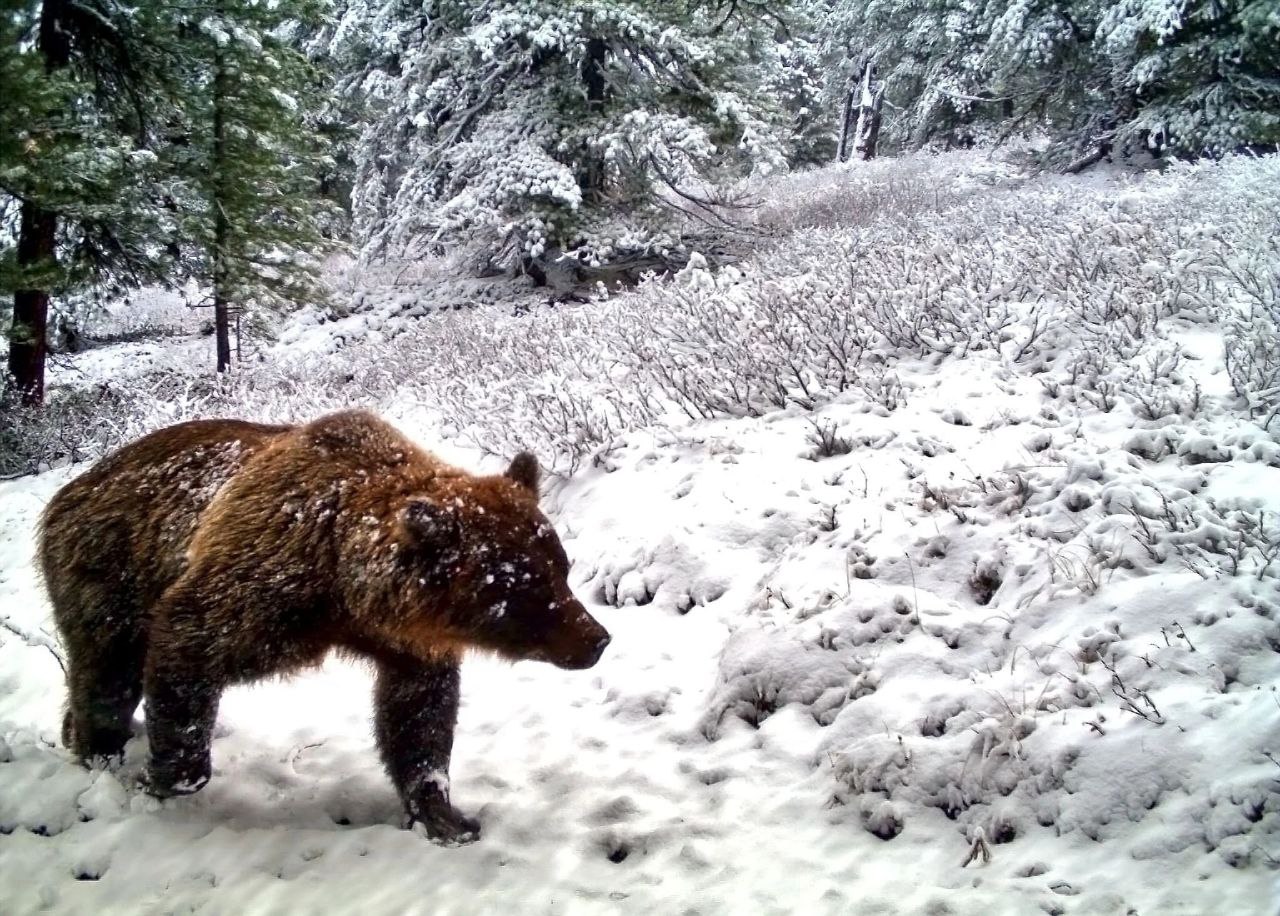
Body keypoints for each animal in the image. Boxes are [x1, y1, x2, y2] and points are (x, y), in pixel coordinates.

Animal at [42, 411, 611, 839]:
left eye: (560, 567)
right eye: (522, 589)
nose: (596, 639)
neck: (341, 584)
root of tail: (74, 485)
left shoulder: (406, 639)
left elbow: (419, 715)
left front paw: (444, 814)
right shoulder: (256, 583)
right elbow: (189, 638)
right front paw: (162, 778)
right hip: (108, 570)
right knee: (107, 670)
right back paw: (101, 750)